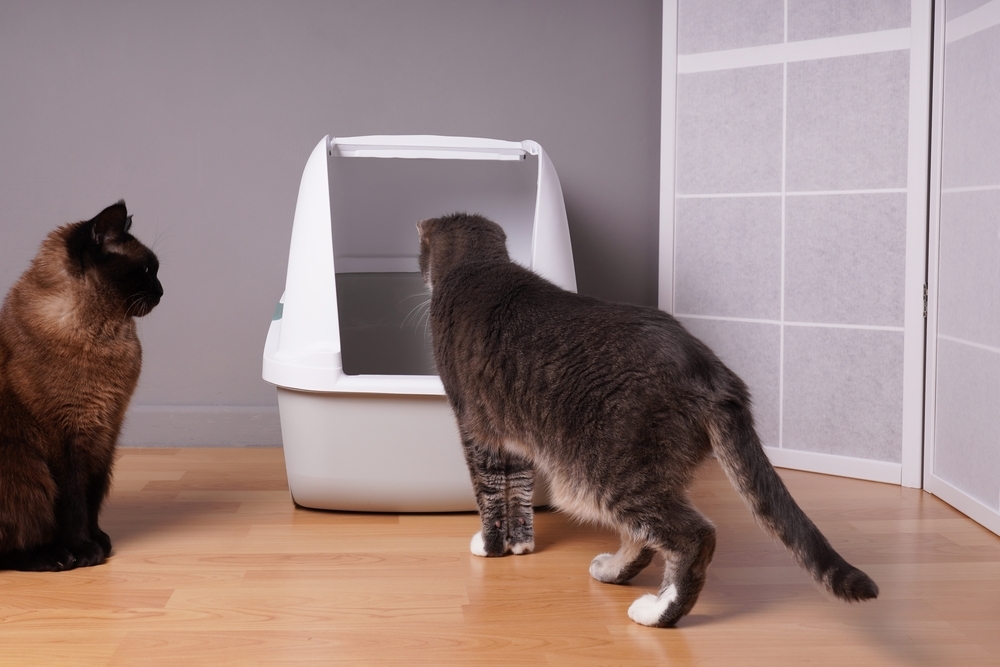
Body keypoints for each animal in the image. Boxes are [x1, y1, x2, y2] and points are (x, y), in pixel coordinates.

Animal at [418, 213, 880, 628]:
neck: (477, 267)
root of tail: (712, 372)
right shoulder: (510, 436)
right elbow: (517, 491)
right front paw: (521, 546)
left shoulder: (474, 427)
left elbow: (490, 491)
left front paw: (490, 546)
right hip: (645, 471)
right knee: (642, 536)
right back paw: (612, 572)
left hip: (607, 472)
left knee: (693, 536)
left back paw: (657, 612)